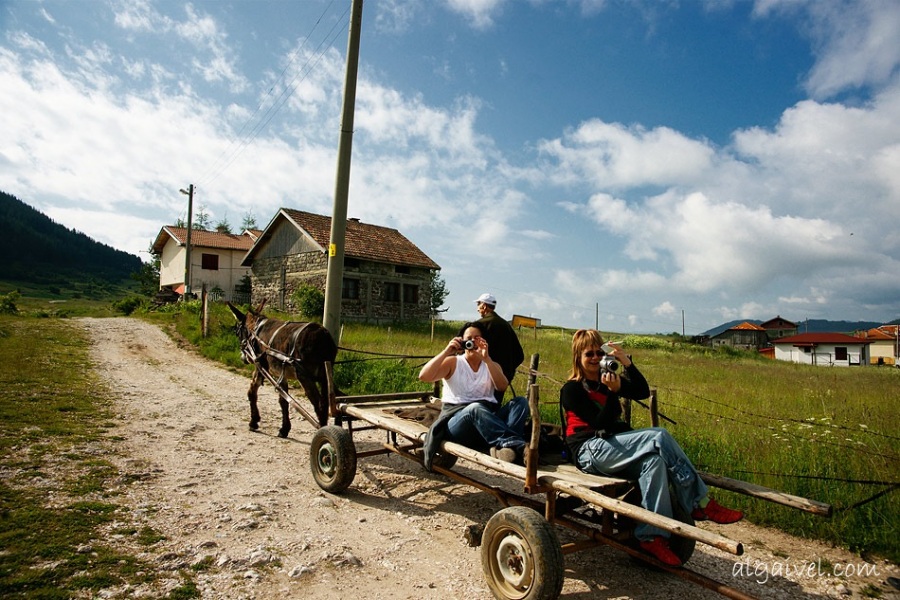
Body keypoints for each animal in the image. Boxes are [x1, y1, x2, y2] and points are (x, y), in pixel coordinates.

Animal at [225, 300, 338, 436]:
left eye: (236, 332)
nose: (243, 358)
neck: (255, 331)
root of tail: (324, 337)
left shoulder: (260, 366)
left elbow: (252, 391)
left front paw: (254, 422)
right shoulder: (281, 374)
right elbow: (283, 401)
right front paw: (284, 429)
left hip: (304, 377)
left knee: (319, 404)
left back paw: (321, 431)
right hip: (325, 376)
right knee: (326, 403)